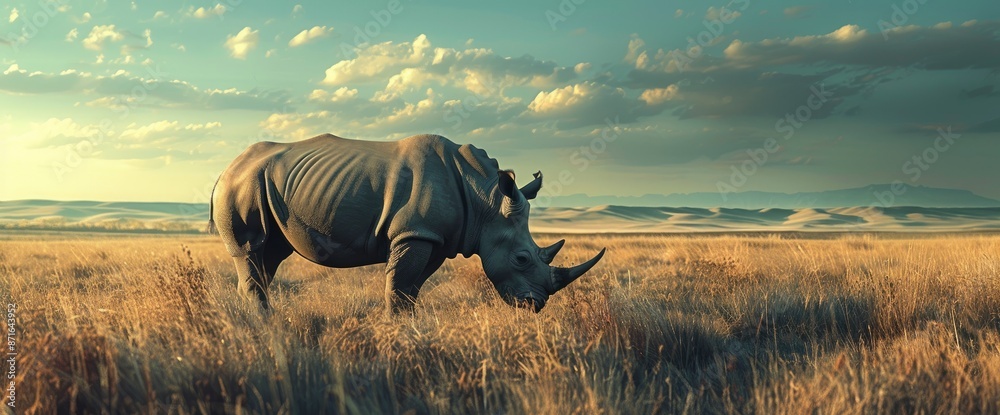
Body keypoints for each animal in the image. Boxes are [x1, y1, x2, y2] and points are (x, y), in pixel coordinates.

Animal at [209, 133, 605, 313]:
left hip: (265, 185)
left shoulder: (435, 238)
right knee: (252, 249)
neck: (486, 199)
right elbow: (399, 287)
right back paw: (265, 327)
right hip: (243, 184)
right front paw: (398, 333)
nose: (535, 305)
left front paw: (409, 326)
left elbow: (412, 289)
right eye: (522, 258)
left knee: (270, 255)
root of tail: (226, 168)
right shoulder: (413, 232)